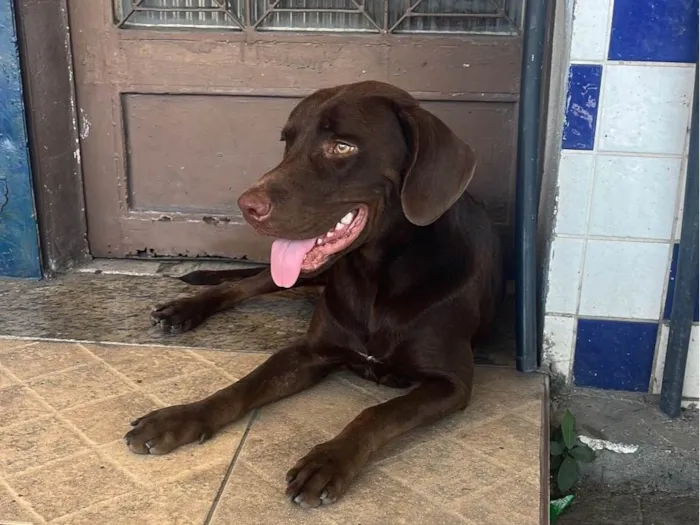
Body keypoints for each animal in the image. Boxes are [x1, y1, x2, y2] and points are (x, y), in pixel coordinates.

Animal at [124, 80, 504, 506]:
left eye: (342, 146)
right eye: (287, 142)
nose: (246, 206)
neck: (374, 277)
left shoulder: (451, 384)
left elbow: (379, 413)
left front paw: (329, 460)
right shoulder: (308, 352)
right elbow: (243, 386)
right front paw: (182, 416)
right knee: (239, 285)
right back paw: (184, 310)